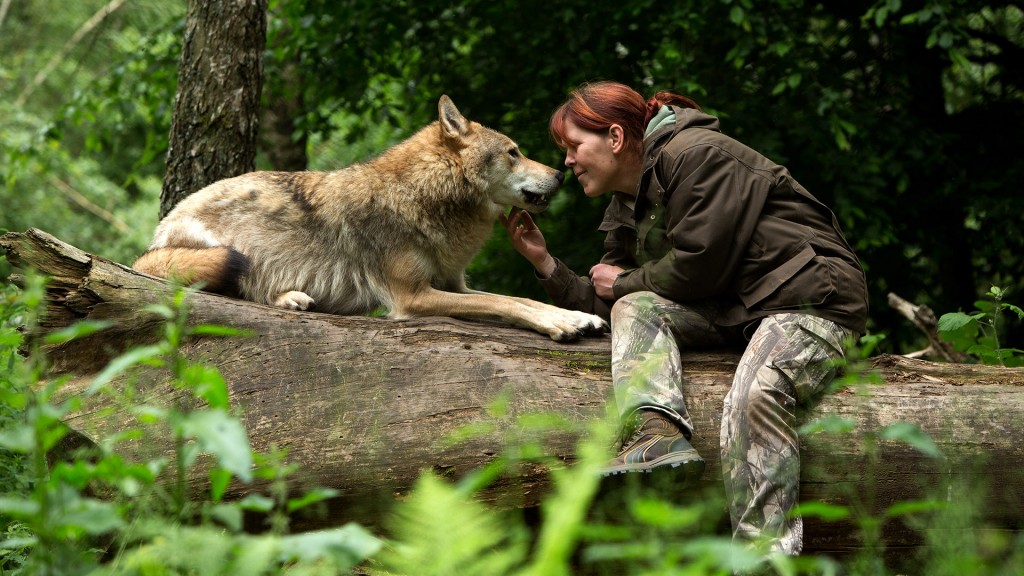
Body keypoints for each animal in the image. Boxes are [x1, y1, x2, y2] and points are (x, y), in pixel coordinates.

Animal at [131, 93, 602, 336]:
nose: (561, 174)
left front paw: (577, 315)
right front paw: (560, 322)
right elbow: (506, 303)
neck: (422, 195)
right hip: (227, 249)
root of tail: (154, 238)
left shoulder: (454, 284)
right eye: (513, 152)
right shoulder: (413, 297)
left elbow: (518, 298)